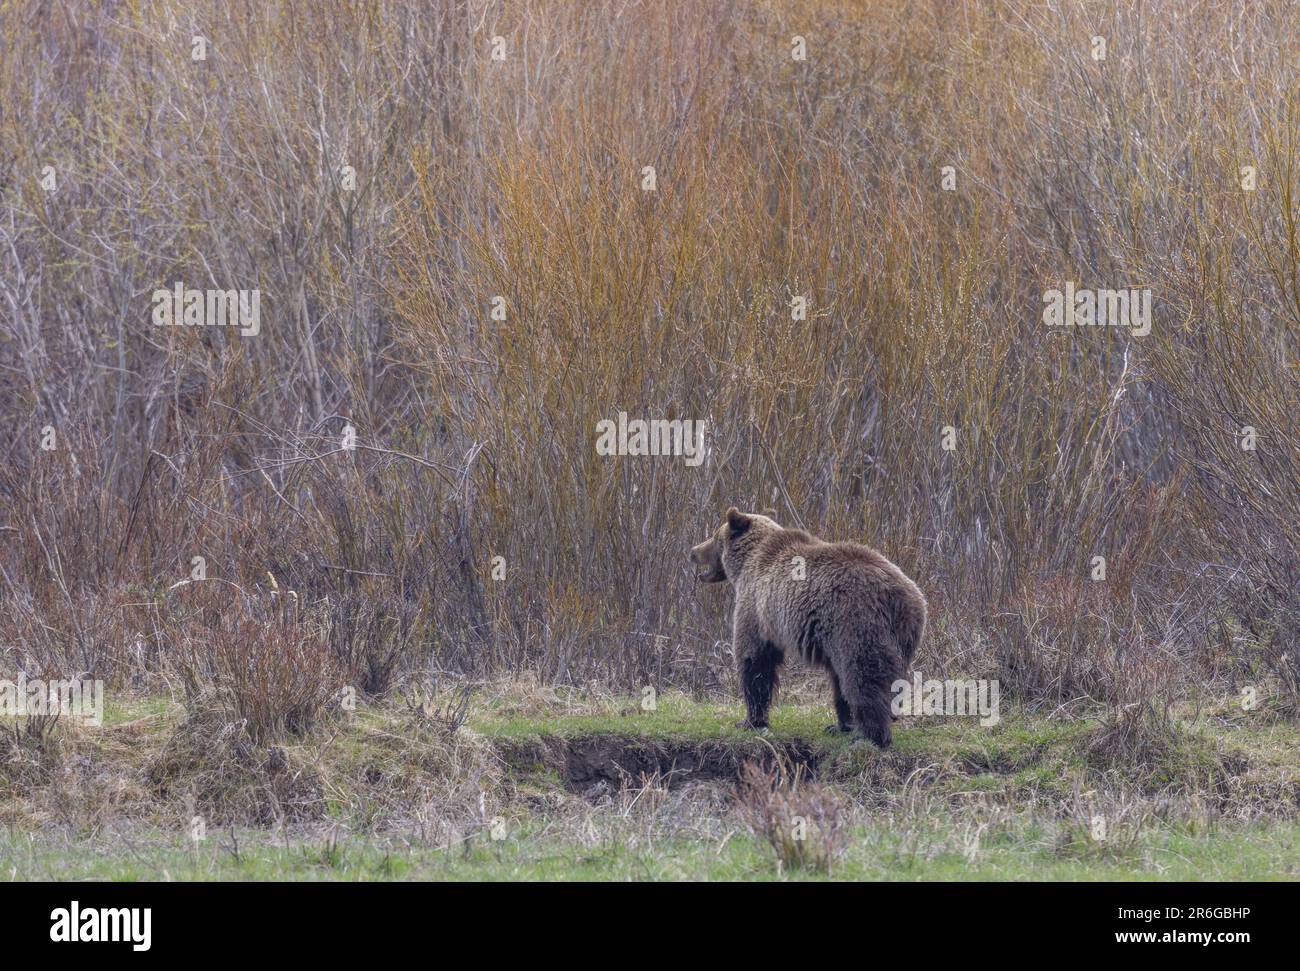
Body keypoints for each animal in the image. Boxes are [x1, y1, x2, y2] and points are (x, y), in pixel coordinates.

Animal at [689, 507, 926, 748]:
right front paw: (840, 725)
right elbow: (835, 677)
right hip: (905, 634)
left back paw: (870, 736)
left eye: (714, 538)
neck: (748, 561)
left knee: (863, 677)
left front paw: (750, 721)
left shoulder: (756, 606)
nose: (693, 551)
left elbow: (755, 659)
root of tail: (900, 596)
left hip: (857, 622)